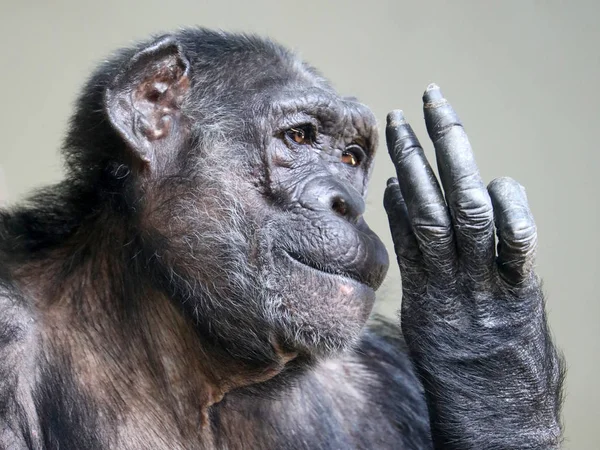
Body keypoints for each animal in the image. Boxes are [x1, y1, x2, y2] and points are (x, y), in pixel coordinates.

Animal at [0, 29, 564, 450]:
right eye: (300, 136)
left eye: (352, 157)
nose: (347, 203)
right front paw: (476, 307)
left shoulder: (386, 379)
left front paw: (483, 339)